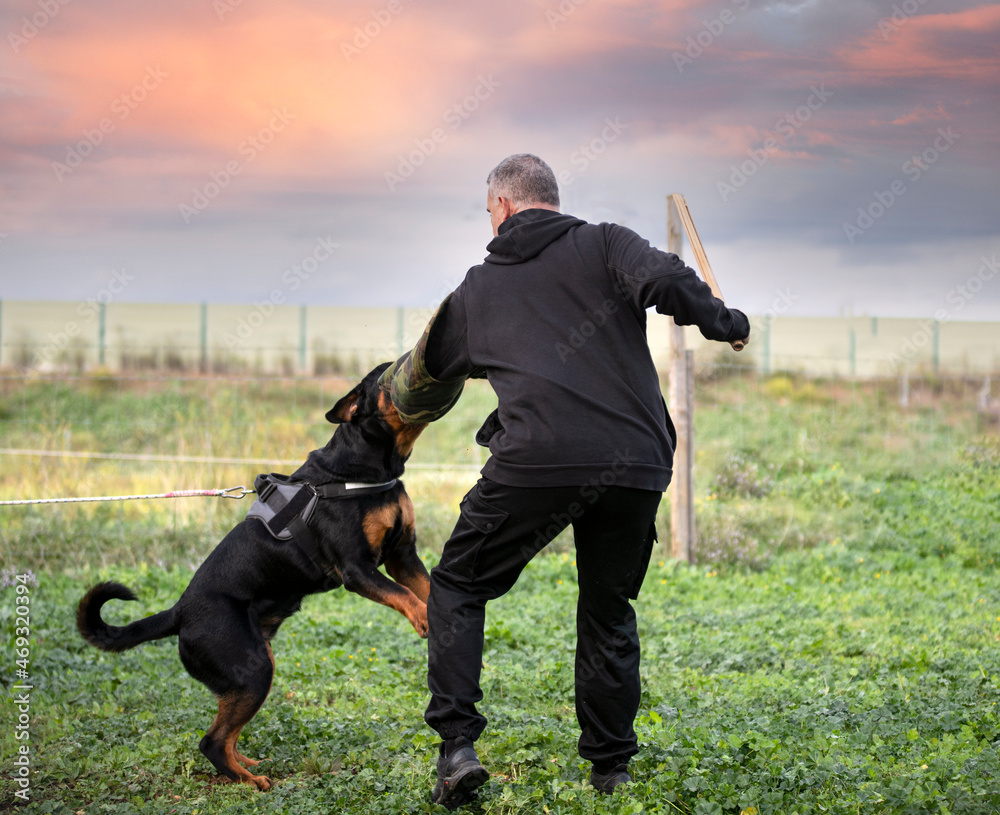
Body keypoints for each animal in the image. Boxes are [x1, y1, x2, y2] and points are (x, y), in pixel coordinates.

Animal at [74, 364, 426, 792]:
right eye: (385, 375)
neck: (364, 467)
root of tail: (178, 612)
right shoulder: (358, 569)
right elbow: (405, 596)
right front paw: (424, 619)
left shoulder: (403, 556)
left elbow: (427, 588)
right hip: (255, 669)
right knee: (211, 741)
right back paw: (250, 782)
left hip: (252, 669)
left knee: (226, 733)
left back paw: (245, 766)